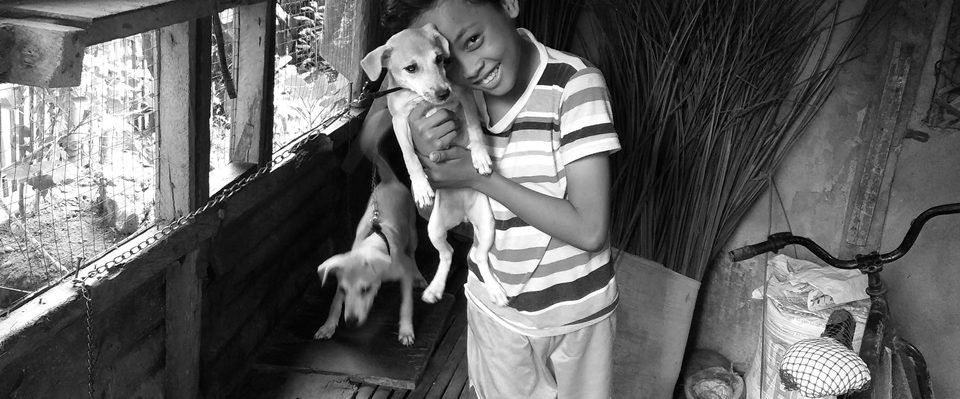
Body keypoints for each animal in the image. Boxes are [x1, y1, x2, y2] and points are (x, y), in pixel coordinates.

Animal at [316, 160, 424, 346]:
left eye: (365, 289)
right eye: (344, 290)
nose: (351, 322)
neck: (372, 243)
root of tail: (389, 180)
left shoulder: (404, 272)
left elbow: (406, 304)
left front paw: (406, 331)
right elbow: (335, 303)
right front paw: (327, 326)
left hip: (412, 232)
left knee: (412, 255)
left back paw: (418, 275)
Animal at [360, 24, 510, 306]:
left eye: (439, 59)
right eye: (411, 68)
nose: (443, 93)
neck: (419, 98)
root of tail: (463, 215)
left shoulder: (464, 96)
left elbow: (474, 127)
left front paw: (480, 155)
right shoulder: (399, 121)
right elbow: (409, 155)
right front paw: (421, 186)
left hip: (487, 225)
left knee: (478, 255)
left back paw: (495, 290)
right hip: (435, 229)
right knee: (448, 252)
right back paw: (435, 288)